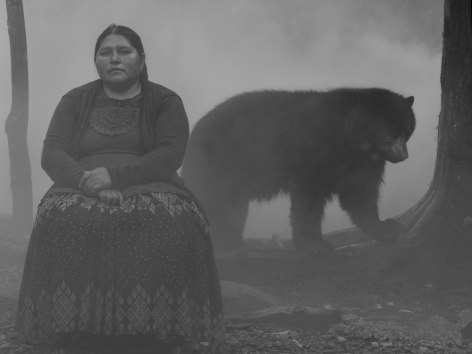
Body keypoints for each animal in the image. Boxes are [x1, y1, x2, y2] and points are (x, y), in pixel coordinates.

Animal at [182, 88, 416, 254]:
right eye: (388, 134)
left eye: (407, 132)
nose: (403, 156)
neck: (353, 144)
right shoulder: (315, 154)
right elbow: (308, 199)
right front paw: (315, 244)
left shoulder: (363, 165)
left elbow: (360, 195)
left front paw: (387, 228)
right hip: (220, 164)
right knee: (213, 200)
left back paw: (231, 240)